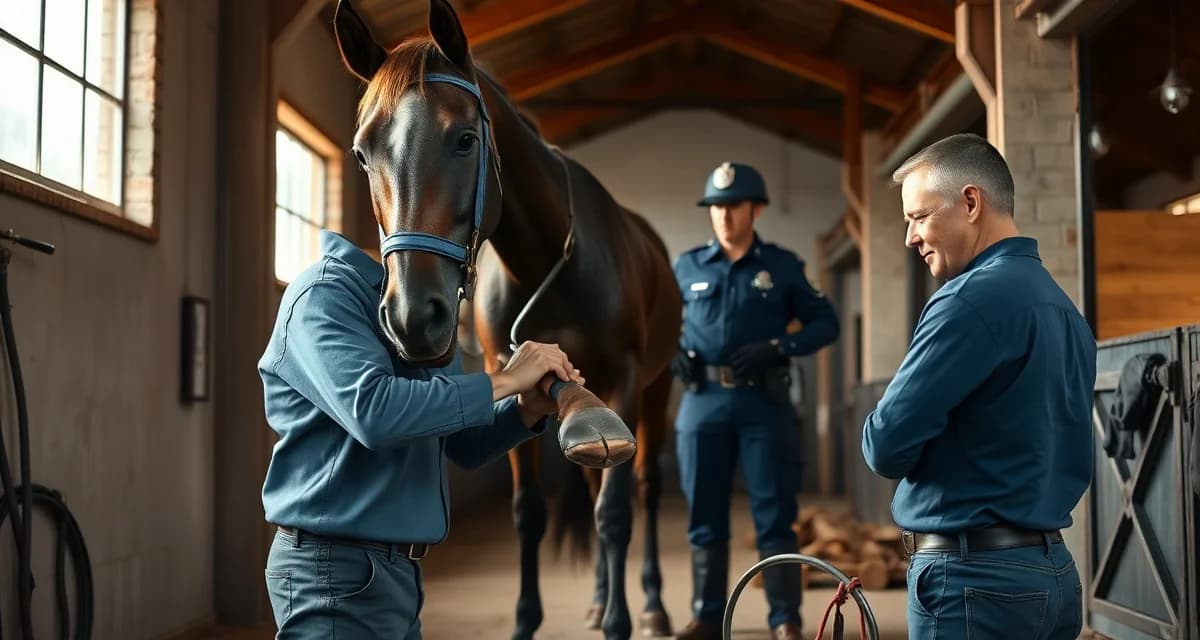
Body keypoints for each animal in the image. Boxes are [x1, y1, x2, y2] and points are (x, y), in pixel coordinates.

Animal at [332, 2, 682, 639]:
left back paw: (649, 605)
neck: (550, 262)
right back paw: (598, 599)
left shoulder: (620, 378)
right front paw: (529, 619)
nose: (413, 316)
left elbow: (614, 513)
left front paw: (621, 620)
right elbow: (529, 514)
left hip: (656, 386)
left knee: (642, 490)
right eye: (363, 154)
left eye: (465, 139)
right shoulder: (518, 373)